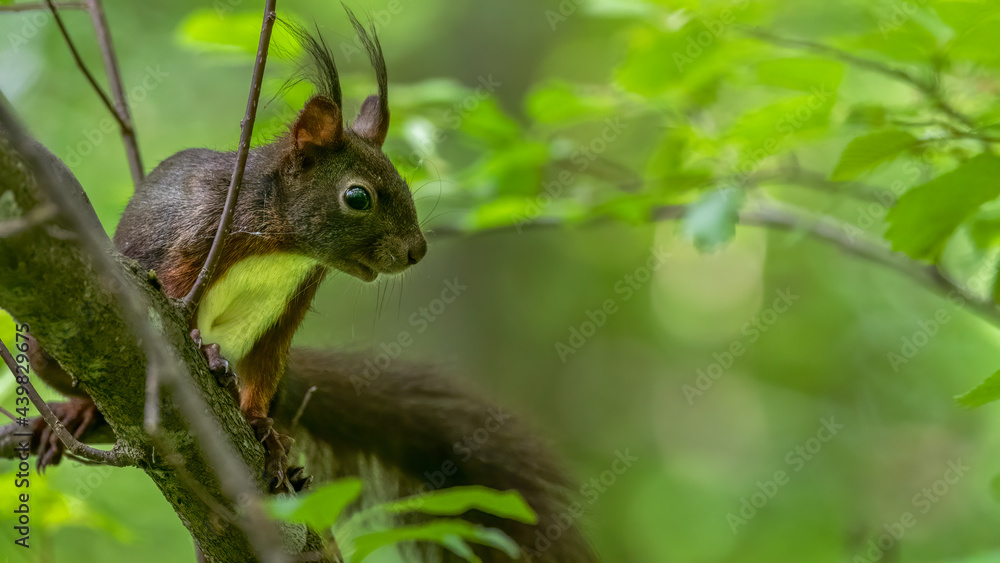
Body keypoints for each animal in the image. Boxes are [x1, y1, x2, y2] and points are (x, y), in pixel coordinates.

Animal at [23, 9, 598, 563]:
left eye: (406, 184)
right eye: (358, 197)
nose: (417, 251)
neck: (284, 247)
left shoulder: (291, 304)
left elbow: (264, 363)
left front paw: (263, 429)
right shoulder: (194, 238)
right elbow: (169, 299)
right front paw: (202, 351)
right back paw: (81, 409)